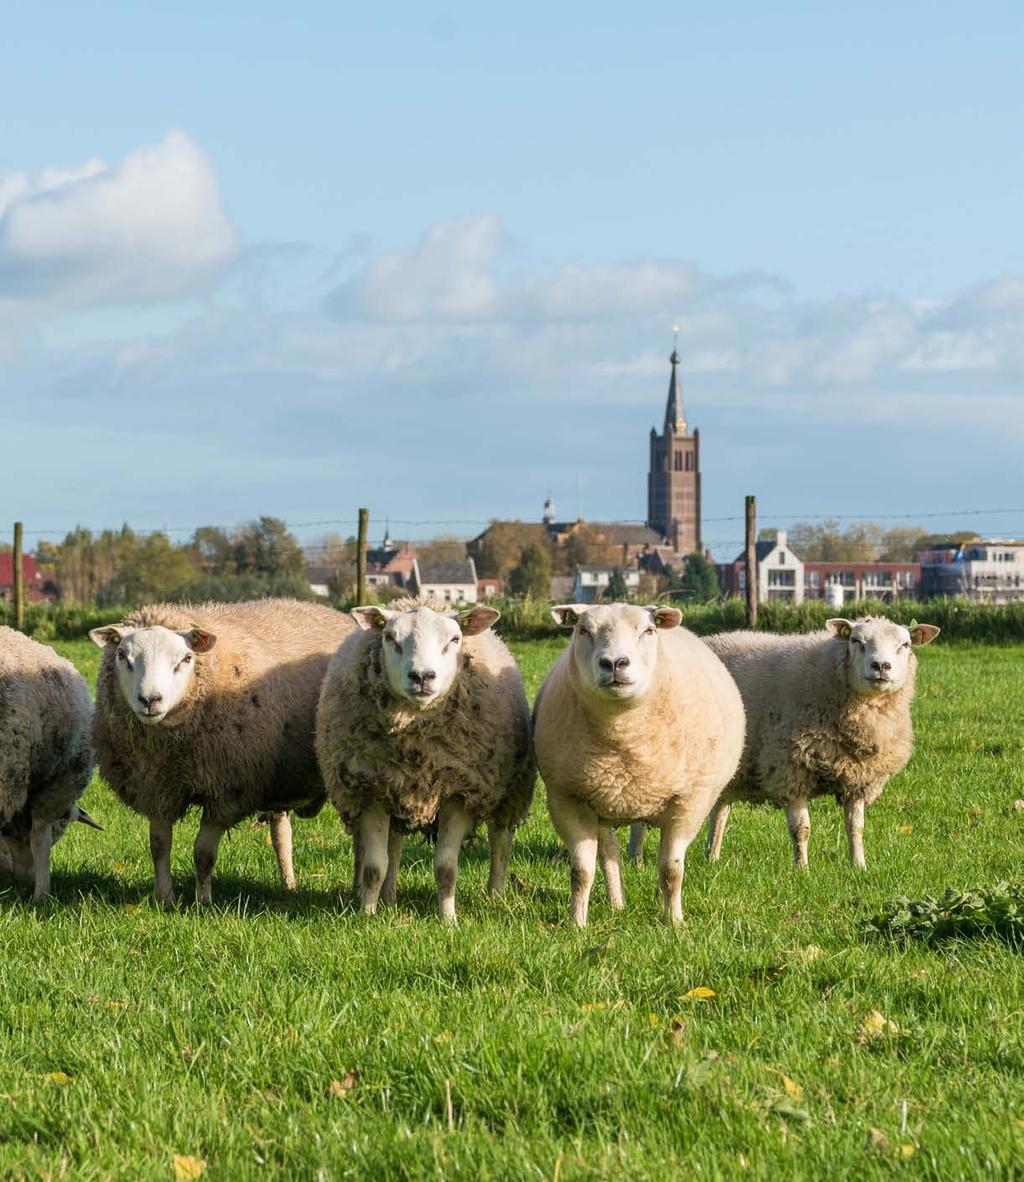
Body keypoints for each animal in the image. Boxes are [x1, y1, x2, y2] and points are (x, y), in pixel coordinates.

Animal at [91, 600, 354, 903]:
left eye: (186, 659)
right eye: (123, 656)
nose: (150, 700)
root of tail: (327, 609)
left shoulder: (226, 793)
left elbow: (203, 854)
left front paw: (203, 902)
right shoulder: (156, 788)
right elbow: (158, 846)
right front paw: (164, 898)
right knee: (281, 834)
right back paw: (289, 884)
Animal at [314, 600, 529, 921]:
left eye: (454, 639)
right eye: (390, 637)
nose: (422, 677)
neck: (415, 745)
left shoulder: (458, 791)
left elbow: (446, 869)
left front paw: (448, 920)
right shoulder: (371, 788)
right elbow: (374, 867)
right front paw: (367, 915)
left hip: (510, 790)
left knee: (500, 840)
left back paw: (496, 894)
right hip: (394, 793)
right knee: (394, 846)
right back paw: (389, 898)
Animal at [534, 605, 742, 926]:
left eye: (648, 630)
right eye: (583, 630)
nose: (614, 663)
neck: (623, 736)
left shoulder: (688, 804)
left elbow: (671, 870)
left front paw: (674, 922)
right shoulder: (567, 799)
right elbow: (581, 872)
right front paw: (576, 923)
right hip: (601, 802)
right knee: (609, 854)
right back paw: (617, 903)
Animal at [690, 619, 936, 869]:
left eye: (905, 645)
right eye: (855, 640)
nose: (881, 666)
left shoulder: (858, 779)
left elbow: (856, 827)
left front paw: (859, 865)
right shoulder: (789, 771)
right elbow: (801, 829)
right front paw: (802, 869)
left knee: (720, 810)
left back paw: (712, 857)